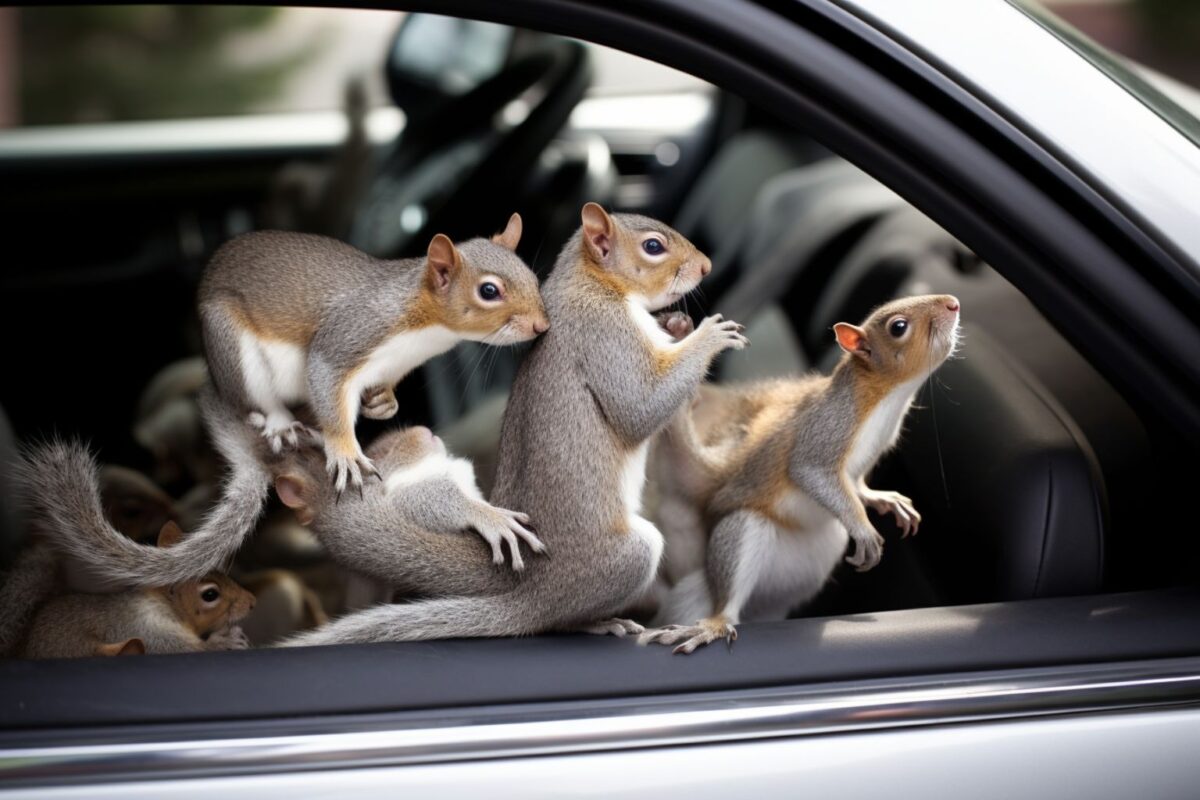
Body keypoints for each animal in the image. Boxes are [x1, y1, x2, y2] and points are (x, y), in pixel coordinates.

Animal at [21, 522, 255, 662]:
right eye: (210, 595)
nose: (252, 602)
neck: (164, 605)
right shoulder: (151, 632)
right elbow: (191, 650)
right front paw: (227, 641)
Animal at [200, 217, 549, 494]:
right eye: (489, 291)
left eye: (532, 278)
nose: (541, 325)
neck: (428, 332)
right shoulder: (348, 336)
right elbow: (325, 380)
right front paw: (345, 453)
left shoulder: (393, 366)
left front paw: (384, 403)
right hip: (234, 350)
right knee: (257, 401)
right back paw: (280, 423)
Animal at [283, 203, 748, 647]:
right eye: (653, 246)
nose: (706, 266)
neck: (592, 284)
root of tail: (531, 594)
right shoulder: (602, 335)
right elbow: (639, 408)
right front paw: (710, 334)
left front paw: (677, 325)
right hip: (630, 556)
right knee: (556, 621)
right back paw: (595, 621)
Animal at [643, 291, 960, 652]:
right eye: (898, 327)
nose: (953, 303)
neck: (888, 398)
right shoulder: (826, 427)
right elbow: (809, 471)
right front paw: (864, 529)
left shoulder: (863, 461)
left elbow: (856, 485)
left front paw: (883, 499)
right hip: (744, 532)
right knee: (730, 583)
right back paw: (714, 624)